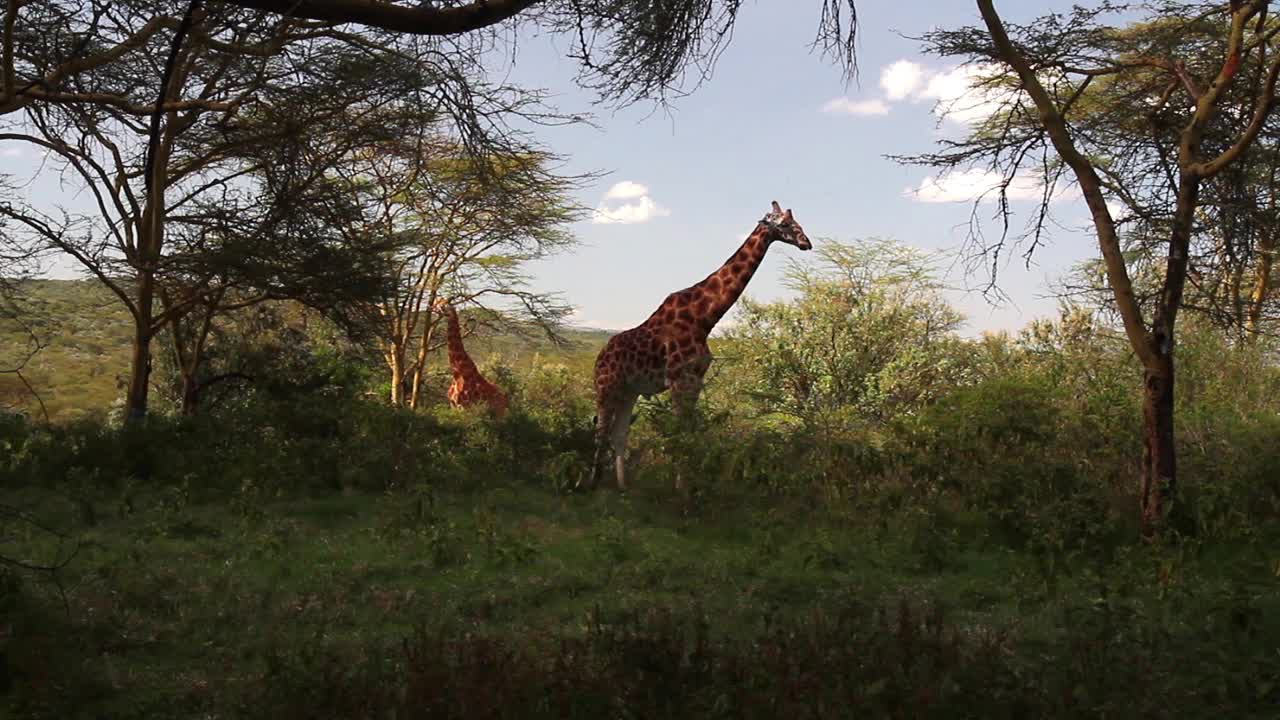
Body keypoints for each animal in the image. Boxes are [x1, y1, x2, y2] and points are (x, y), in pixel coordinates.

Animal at [581, 202, 808, 491]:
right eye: (787, 224)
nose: (806, 243)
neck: (705, 318)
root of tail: (599, 357)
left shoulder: (695, 379)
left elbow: (688, 431)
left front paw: (688, 485)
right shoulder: (680, 379)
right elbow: (679, 433)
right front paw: (682, 490)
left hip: (629, 391)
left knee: (619, 433)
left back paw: (623, 487)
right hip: (606, 387)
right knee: (600, 430)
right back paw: (591, 483)